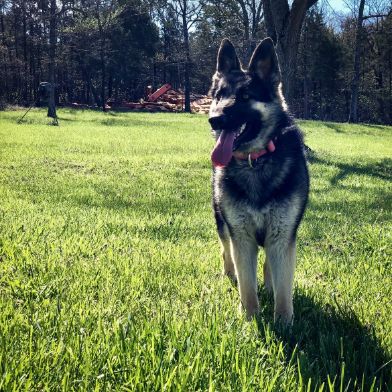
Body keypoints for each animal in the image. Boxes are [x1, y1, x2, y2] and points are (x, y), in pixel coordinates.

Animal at [208, 37, 310, 324]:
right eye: (218, 95)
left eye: (245, 97)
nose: (214, 119)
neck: (255, 160)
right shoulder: (241, 237)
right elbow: (246, 284)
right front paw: (250, 318)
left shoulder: (282, 236)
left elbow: (284, 286)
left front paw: (284, 322)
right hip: (222, 223)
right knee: (226, 250)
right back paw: (229, 273)